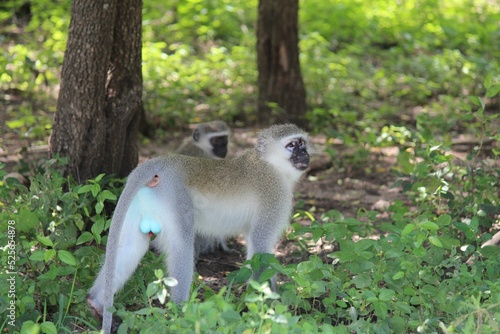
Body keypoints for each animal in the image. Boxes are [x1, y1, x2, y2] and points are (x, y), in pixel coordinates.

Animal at [88, 124, 310, 332]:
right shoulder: (274, 194)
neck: (270, 164)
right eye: (291, 145)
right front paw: (266, 309)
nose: (305, 154)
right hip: (175, 196)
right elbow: (261, 248)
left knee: (130, 246)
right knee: (182, 246)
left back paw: (95, 302)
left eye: (302, 143)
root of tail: (157, 164)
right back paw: (181, 313)